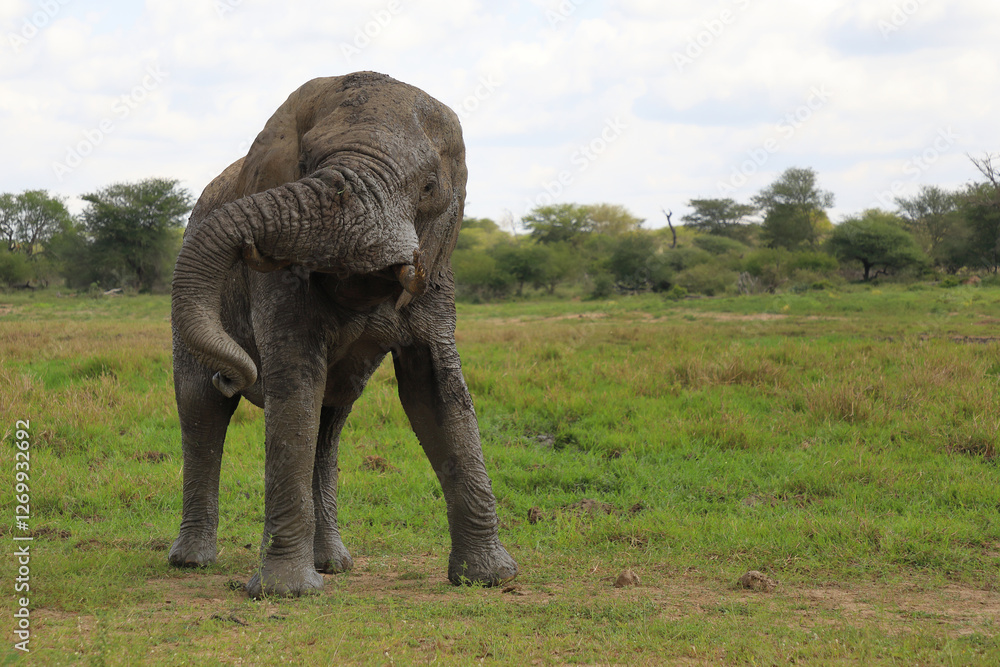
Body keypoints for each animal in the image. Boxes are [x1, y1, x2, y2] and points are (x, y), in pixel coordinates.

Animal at [167, 71, 518, 597]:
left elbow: (436, 391)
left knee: (328, 420)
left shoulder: (437, 266)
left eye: (429, 186)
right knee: (201, 409)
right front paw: (287, 593)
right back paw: (193, 562)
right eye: (306, 163)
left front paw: (489, 579)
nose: (233, 374)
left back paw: (331, 564)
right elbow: (295, 378)